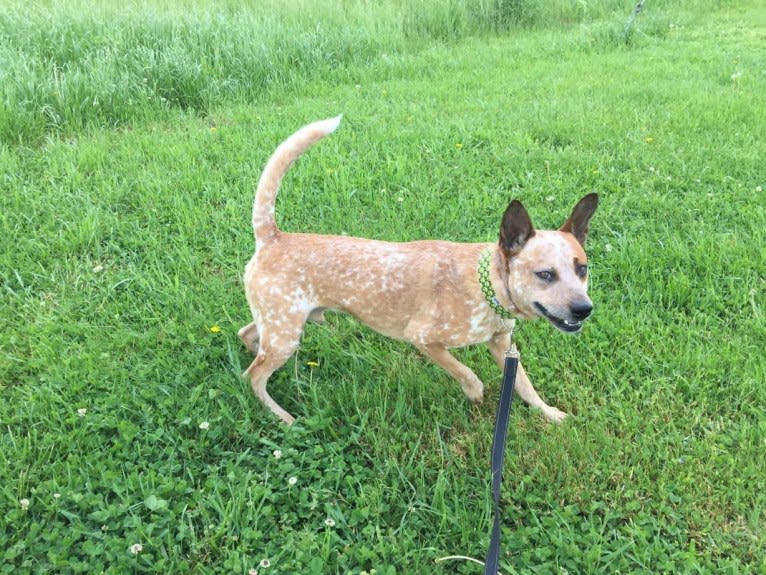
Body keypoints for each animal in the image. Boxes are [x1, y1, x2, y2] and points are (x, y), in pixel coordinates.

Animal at [240, 116, 600, 428]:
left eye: (582, 269)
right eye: (545, 274)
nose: (584, 309)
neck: (489, 287)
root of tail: (272, 236)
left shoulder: (502, 345)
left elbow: (524, 385)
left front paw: (548, 412)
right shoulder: (423, 338)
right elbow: (465, 371)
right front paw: (475, 393)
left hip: (281, 324)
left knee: (248, 338)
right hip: (285, 333)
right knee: (253, 376)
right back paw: (282, 417)